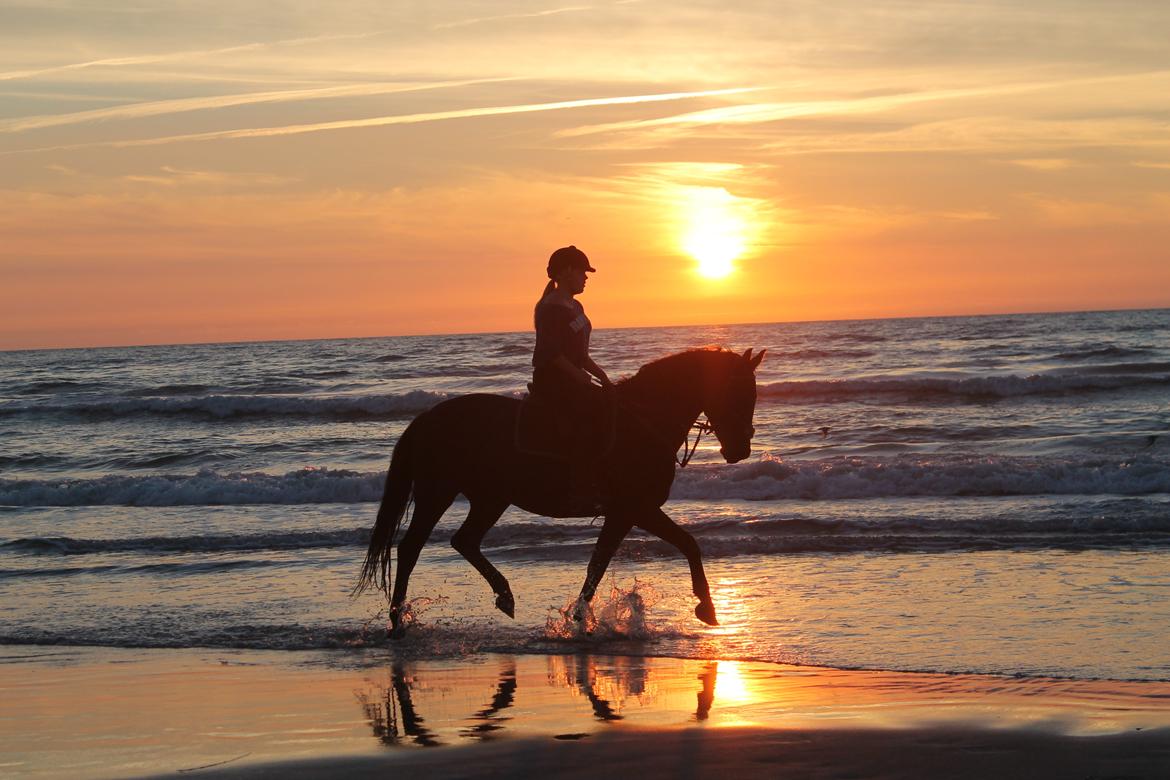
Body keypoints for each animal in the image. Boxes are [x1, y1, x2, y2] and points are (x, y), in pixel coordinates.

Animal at [351, 343, 762, 631]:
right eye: (738, 392)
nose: (740, 450)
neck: (643, 421)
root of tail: (427, 418)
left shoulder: (622, 514)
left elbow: (598, 564)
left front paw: (579, 618)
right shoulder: (637, 508)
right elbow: (688, 543)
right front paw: (707, 607)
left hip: (490, 498)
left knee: (464, 541)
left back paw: (504, 597)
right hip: (438, 491)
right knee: (411, 548)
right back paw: (397, 619)